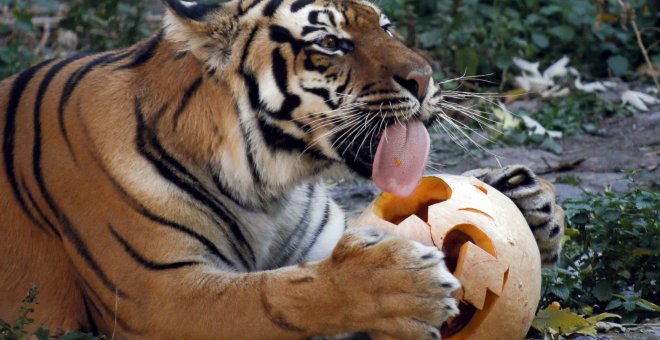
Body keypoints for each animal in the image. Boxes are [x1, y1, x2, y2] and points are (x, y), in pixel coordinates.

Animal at [0, 0, 564, 338]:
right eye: (330, 43)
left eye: (384, 26)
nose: (425, 79)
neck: (267, 189)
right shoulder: (155, 296)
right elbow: (276, 294)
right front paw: (401, 286)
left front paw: (529, 202)